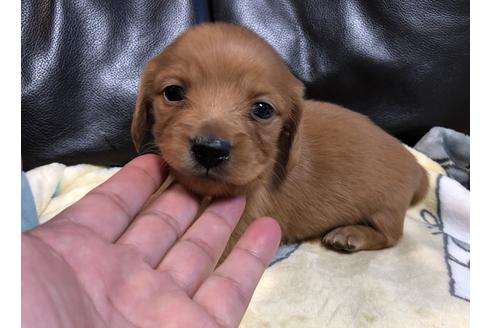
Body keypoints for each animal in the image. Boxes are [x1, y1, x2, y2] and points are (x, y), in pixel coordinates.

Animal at [131, 24, 426, 258]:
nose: (209, 151)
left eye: (263, 109)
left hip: (386, 208)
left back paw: (350, 235)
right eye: (173, 92)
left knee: (392, 235)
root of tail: (415, 165)